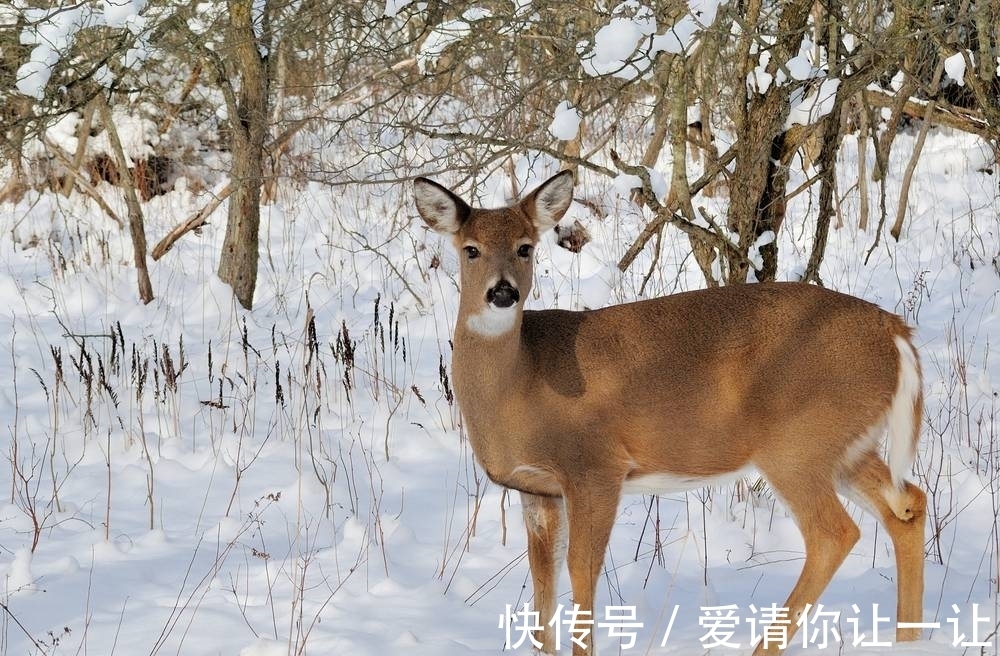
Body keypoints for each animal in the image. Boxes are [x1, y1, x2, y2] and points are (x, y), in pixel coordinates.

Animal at [410, 170, 924, 656]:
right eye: (471, 250)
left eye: (525, 247)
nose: (502, 293)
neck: (520, 384)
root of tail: (896, 331)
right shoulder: (536, 488)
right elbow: (543, 580)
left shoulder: (595, 467)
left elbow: (581, 569)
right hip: (846, 443)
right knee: (908, 504)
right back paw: (908, 640)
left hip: (798, 443)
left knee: (834, 533)